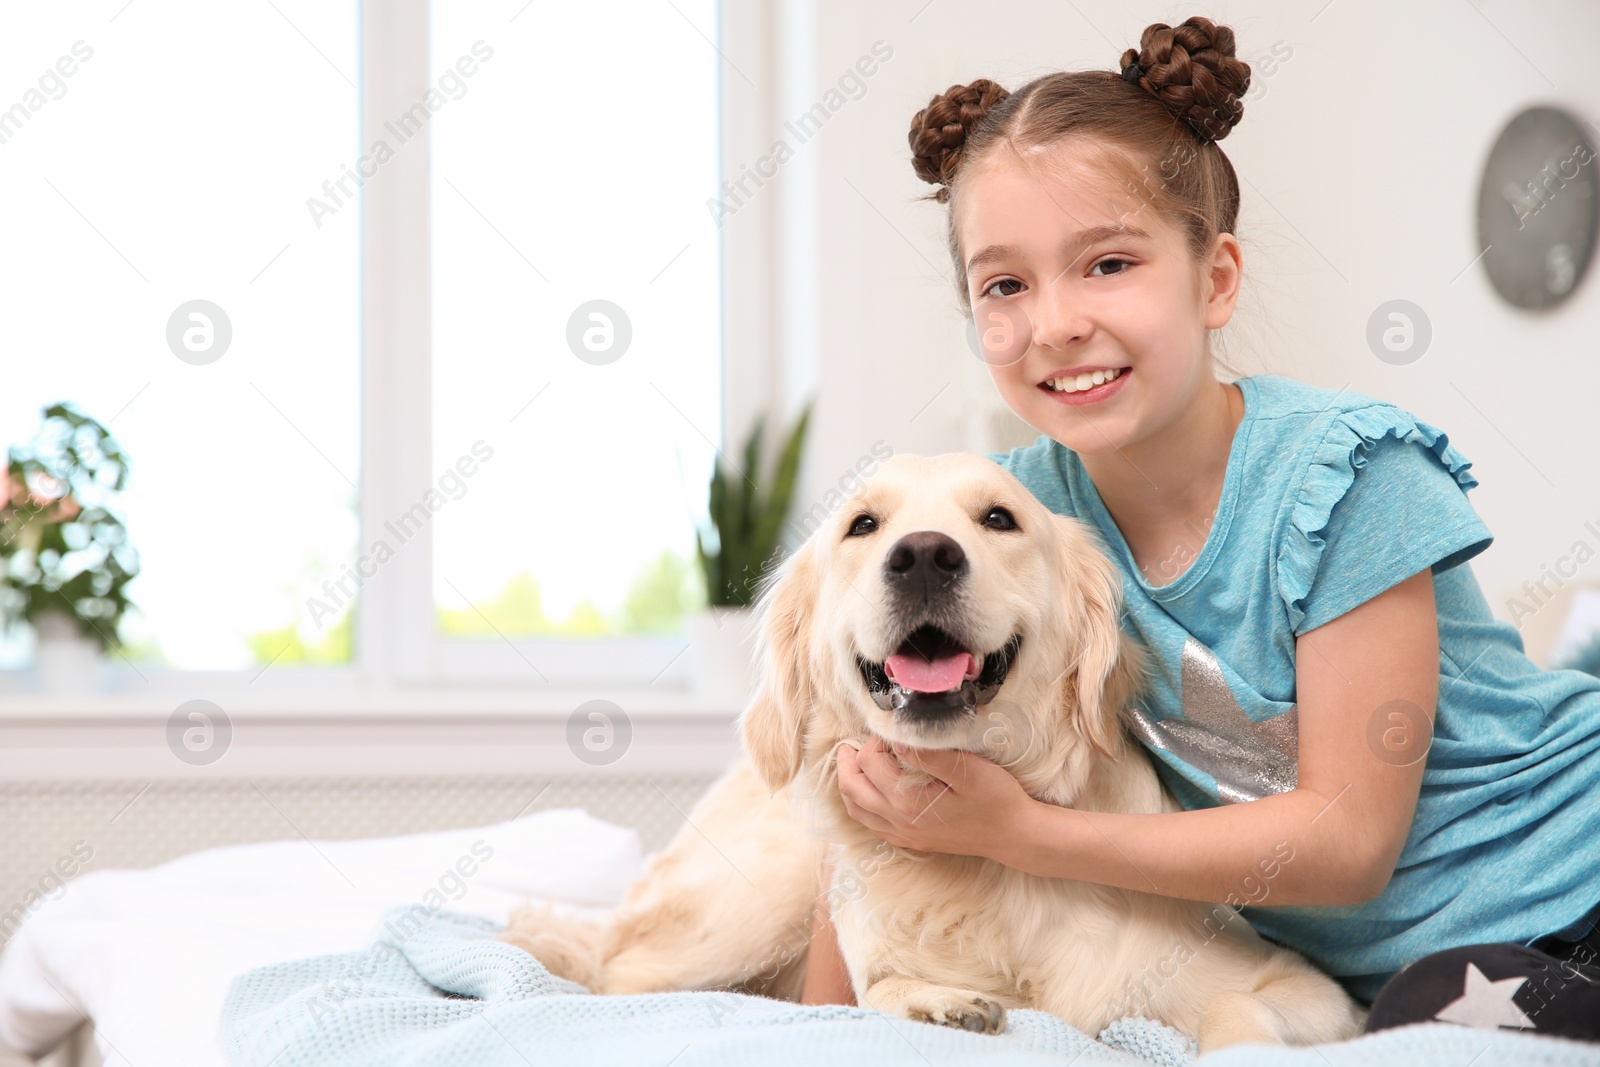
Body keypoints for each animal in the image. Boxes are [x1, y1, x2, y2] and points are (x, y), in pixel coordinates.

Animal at [499, 451, 1363, 1049]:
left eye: (999, 518)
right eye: (862, 525)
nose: (922, 555)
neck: (984, 873)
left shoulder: (1312, 991)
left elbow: (1234, 1003)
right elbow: (872, 990)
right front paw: (939, 1000)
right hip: (761, 895)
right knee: (622, 975)